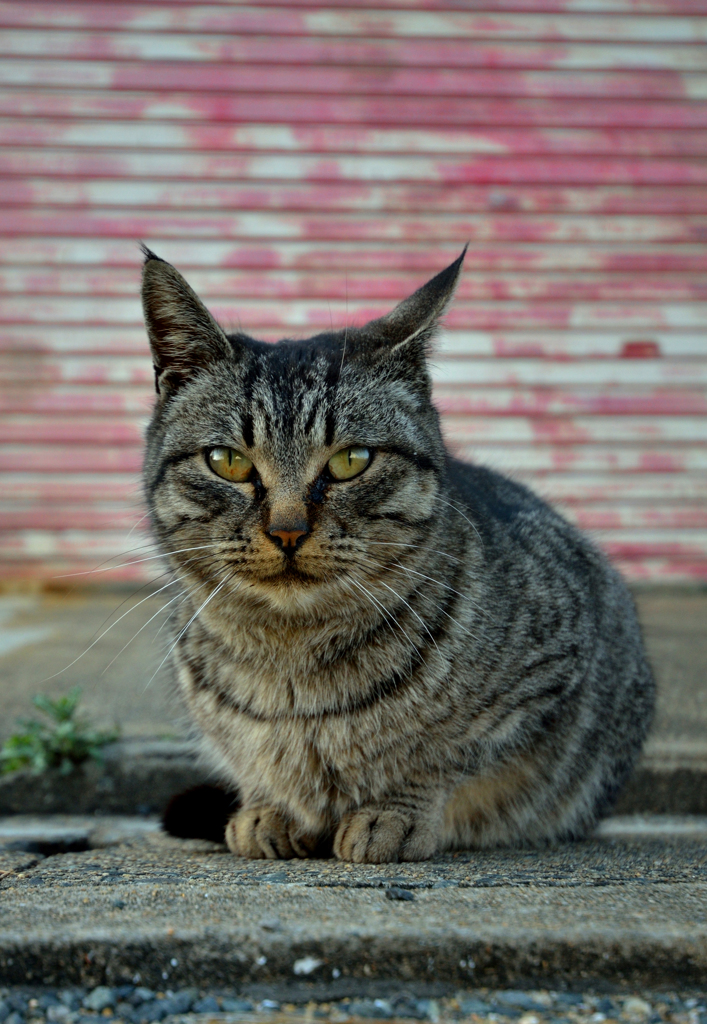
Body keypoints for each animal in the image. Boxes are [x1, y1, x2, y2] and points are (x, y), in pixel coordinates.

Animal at [140, 247, 651, 864]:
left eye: (351, 460)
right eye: (228, 461)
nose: (287, 530)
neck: (291, 659)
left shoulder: (550, 675)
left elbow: (445, 755)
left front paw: (393, 812)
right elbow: (255, 765)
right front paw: (269, 807)